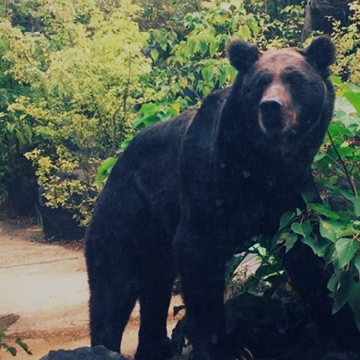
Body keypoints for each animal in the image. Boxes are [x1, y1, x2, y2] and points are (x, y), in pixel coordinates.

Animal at [86, 35, 342, 360]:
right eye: (259, 82)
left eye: (295, 80)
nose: (271, 107)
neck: (260, 165)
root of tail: (113, 169)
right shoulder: (207, 186)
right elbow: (198, 258)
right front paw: (222, 347)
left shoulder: (290, 193)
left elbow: (309, 256)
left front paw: (340, 327)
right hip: (127, 216)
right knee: (113, 288)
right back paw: (104, 346)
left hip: (155, 242)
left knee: (155, 290)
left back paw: (155, 346)